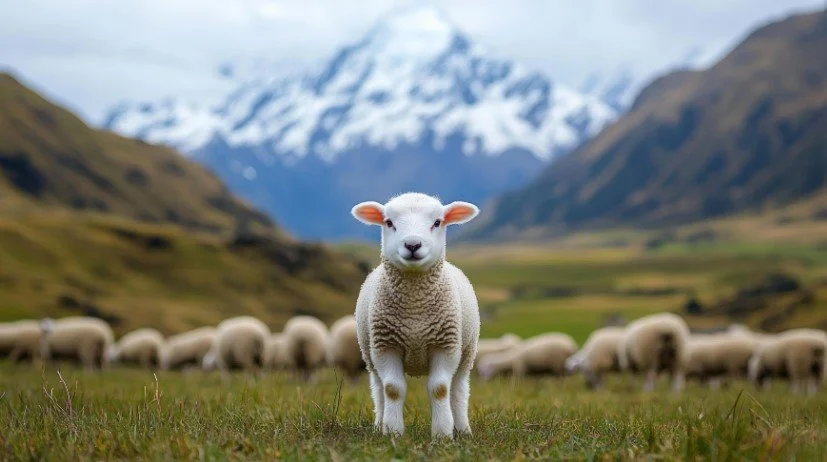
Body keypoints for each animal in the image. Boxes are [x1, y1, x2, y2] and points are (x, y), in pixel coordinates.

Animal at [352, 193, 481, 439]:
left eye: (437, 222)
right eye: (389, 222)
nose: (412, 244)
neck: (415, 312)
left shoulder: (446, 345)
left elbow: (440, 389)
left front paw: (442, 434)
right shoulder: (385, 345)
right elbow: (392, 389)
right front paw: (392, 432)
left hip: (467, 351)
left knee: (458, 389)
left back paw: (463, 429)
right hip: (369, 352)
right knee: (379, 389)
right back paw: (378, 425)